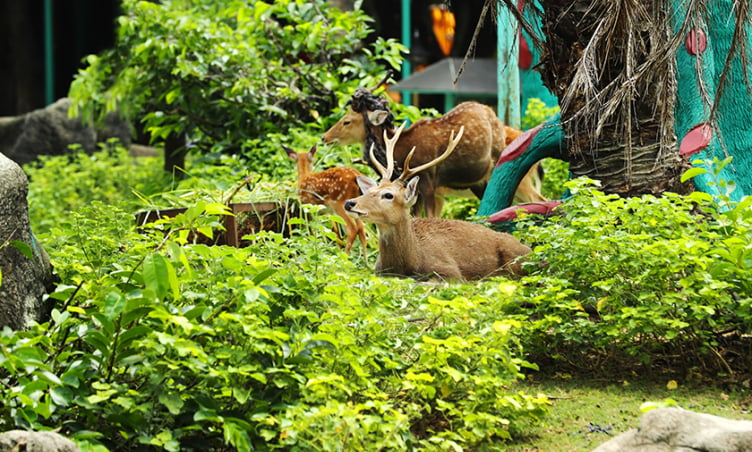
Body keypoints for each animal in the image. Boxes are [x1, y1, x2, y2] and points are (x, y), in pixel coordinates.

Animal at [324, 88, 548, 217]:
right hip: (481, 183)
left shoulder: (429, 183)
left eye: (347, 121)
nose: (324, 137)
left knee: (539, 200)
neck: (400, 152)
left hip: (514, 177)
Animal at [344, 123, 532, 278]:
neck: (409, 261)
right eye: (370, 191)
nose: (350, 203)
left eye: (388, 195)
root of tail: (530, 249)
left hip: (516, 261)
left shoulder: (451, 271)